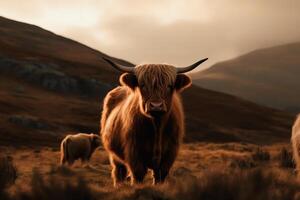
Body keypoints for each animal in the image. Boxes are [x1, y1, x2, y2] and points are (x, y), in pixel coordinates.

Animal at [99, 56, 207, 186]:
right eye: (143, 85)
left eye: (169, 85)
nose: (156, 106)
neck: (157, 125)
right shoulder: (134, 153)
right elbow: (138, 175)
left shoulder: (169, 154)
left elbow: (160, 176)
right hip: (114, 155)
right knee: (118, 172)